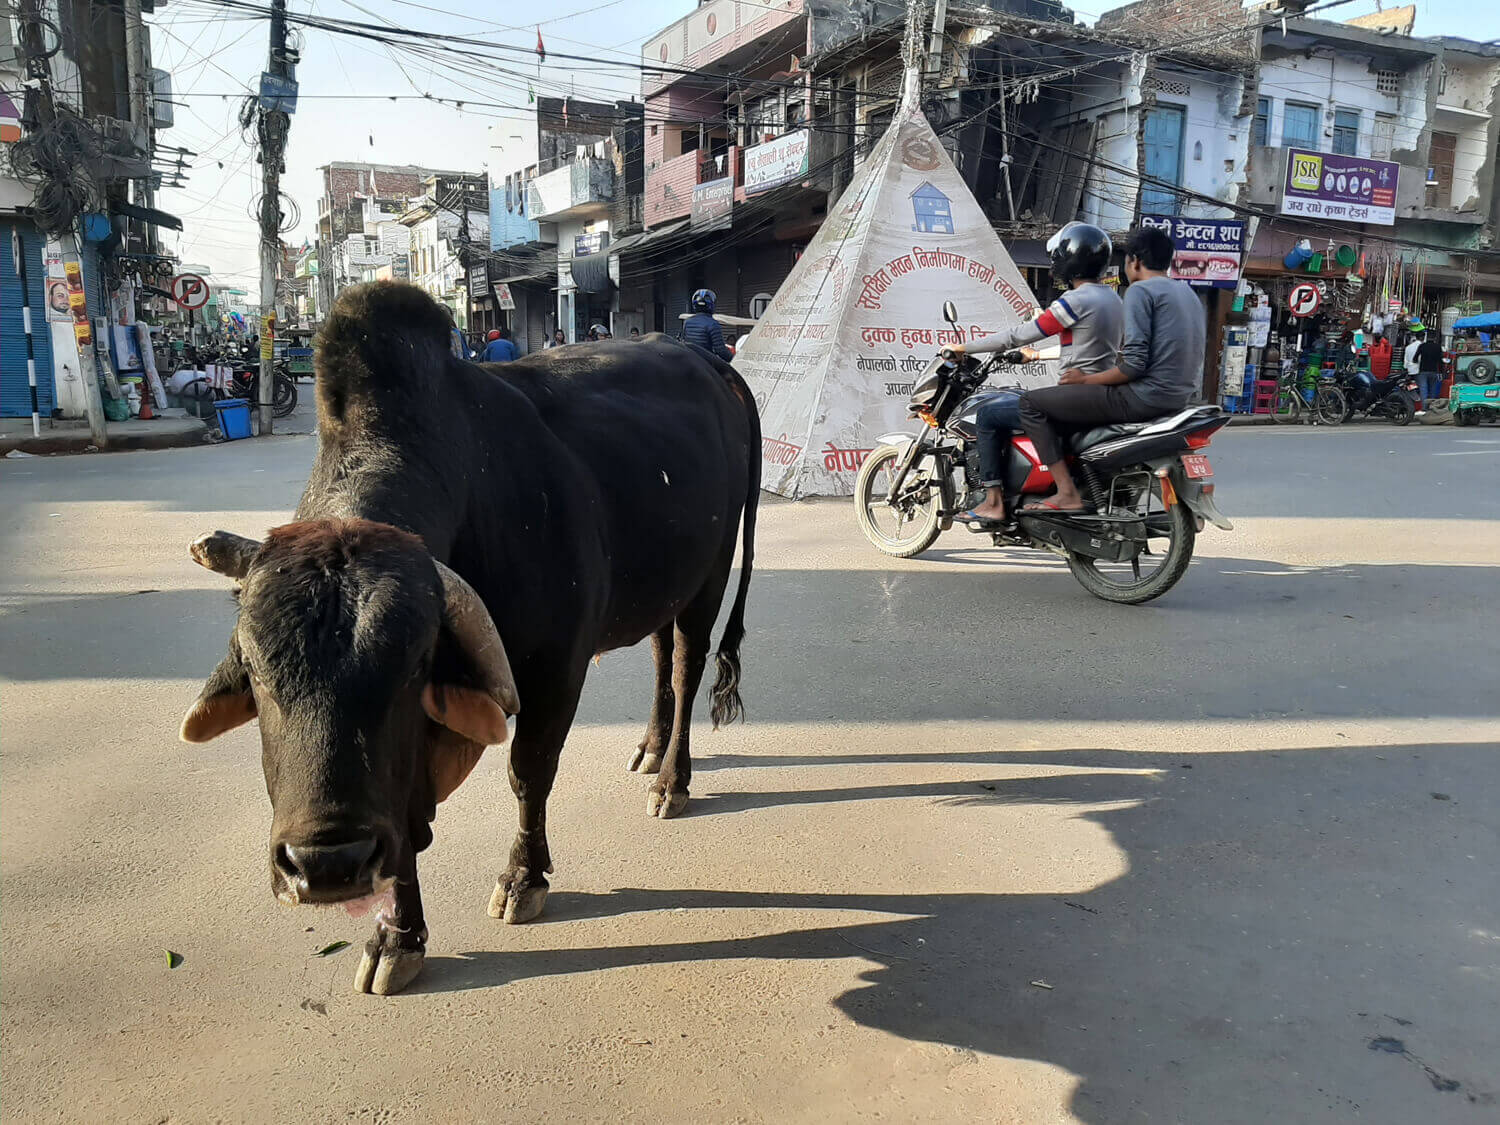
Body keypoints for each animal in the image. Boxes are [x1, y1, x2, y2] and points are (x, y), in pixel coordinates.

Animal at [180, 282, 759, 995]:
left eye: (409, 667)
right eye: (257, 674)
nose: (326, 863)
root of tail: (705, 360)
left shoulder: (554, 665)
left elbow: (529, 773)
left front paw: (523, 878)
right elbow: (403, 819)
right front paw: (396, 938)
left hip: (711, 572)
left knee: (684, 663)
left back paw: (671, 781)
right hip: (661, 581)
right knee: (658, 656)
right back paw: (649, 751)